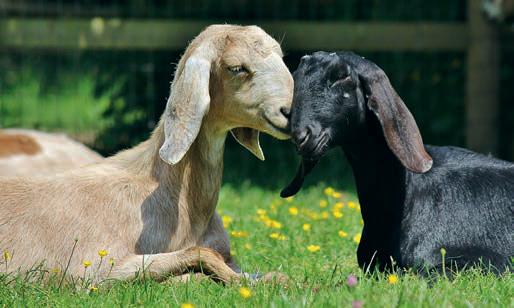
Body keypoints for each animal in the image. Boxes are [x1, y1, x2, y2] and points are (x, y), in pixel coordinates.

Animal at [0, 25, 292, 282]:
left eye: (281, 58)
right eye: (236, 68)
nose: (290, 110)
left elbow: (275, 275)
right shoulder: (96, 268)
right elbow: (200, 259)